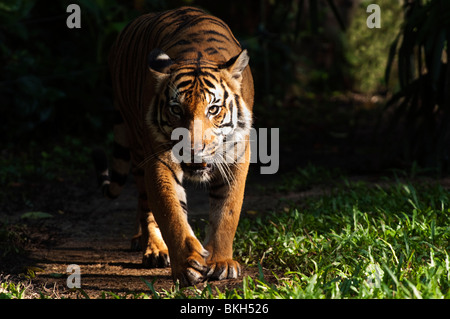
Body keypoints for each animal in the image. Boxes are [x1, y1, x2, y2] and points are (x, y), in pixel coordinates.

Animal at [92, 6, 253, 288]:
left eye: (213, 109)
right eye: (176, 110)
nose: (194, 148)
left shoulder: (237, 156)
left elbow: (227, 212)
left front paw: (221, 262)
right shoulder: (159, 158)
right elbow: (171, 212)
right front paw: (187, 265)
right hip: (137, 145)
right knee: (145, 202)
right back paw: (153, 247)